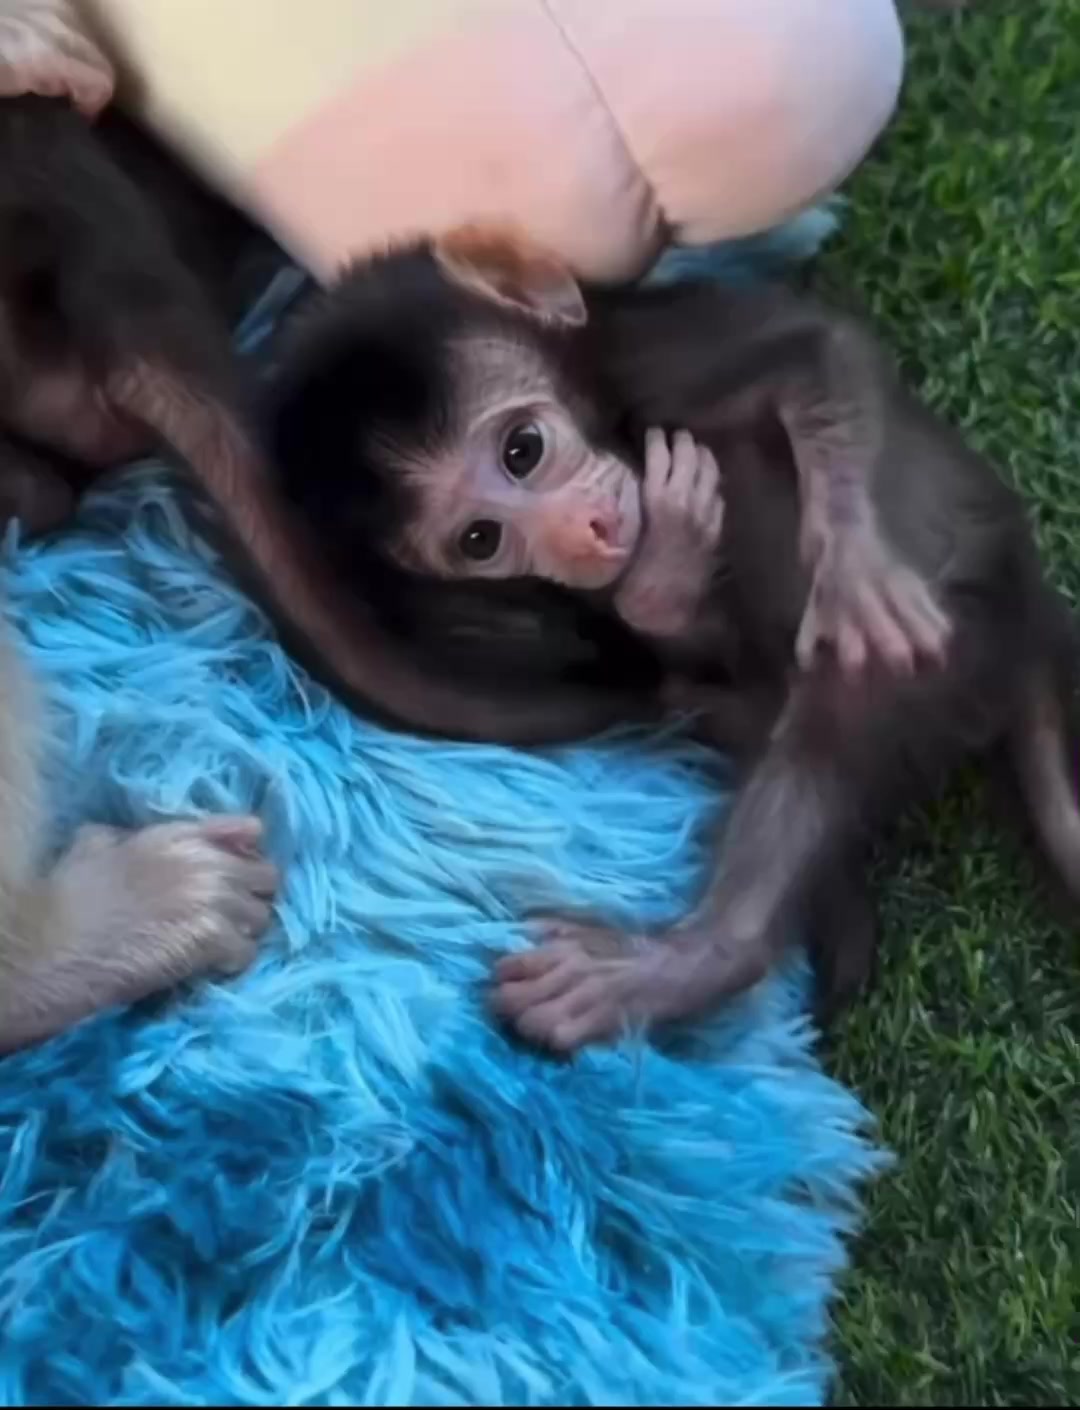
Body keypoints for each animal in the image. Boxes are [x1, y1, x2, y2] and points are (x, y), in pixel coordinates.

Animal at [259, 227, 1080, 1050]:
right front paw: (665, 577)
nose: (579, 534)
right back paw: (695, 959)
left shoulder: (655, 355)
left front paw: (854, 557)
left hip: (964, 641)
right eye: (480, 539)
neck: (613, 419)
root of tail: (1030, 621)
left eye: (523, 450)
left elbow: (818, 358)